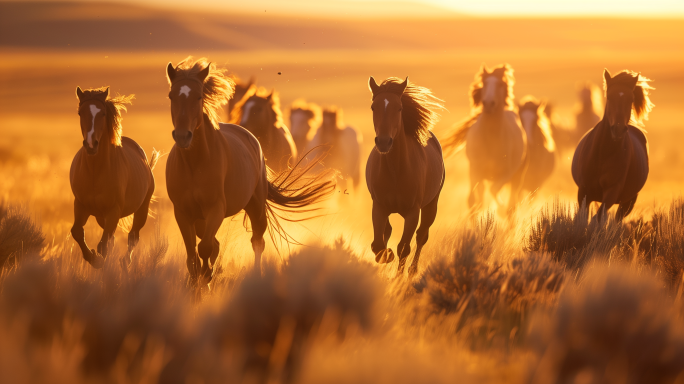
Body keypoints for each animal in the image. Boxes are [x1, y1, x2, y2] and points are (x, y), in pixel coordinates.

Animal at [70, 86, 159, 268]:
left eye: (103, 113)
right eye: (80, 112)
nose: (91, 145)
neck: (95, 170)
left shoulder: (113, 211)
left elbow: (104, 244)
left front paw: (98, 260)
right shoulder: (81, 205)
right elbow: (77, 232)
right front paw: (93, 258)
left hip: (141, 210)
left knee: (133, 237)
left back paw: (125, 262)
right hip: (100, 217)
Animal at [167, 57, 336, 284]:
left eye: (199, 96)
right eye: (171, 96)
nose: (183, 136)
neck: (195, 163)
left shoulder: (215, 209)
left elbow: (204, 248)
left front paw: (205, 280)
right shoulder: (183, 213)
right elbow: (192, 255)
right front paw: (198, 283)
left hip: (256, 207)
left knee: (257, 241)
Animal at [366, 76, 446, 274]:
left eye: (399, 108)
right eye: (373, 107)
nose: (384, 142)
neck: (395, 171)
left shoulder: (412, 212)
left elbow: (403, 247)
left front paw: (399, 277)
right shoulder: (378, 207)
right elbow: (378, 244)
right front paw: (386, 256)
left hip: (431, 206)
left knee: (421, 235)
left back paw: (412, 271)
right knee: (388, 231)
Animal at [444, 63, 528, 213]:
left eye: (500, 84)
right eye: (484, 83)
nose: (488, 103)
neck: (491, 140)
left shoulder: (506, 174)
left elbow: (494, 191)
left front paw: (500, 210)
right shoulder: (475, 171)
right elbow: (472, 201)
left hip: (516, 177)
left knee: (512, 201)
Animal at [572, 68, 652, 222]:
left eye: (631, 99)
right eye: (609, 97)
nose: (618, 129)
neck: (603, 154)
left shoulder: (612, 191)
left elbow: (597, 219)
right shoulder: (583, 191)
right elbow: (582, 218)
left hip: (628, 202)